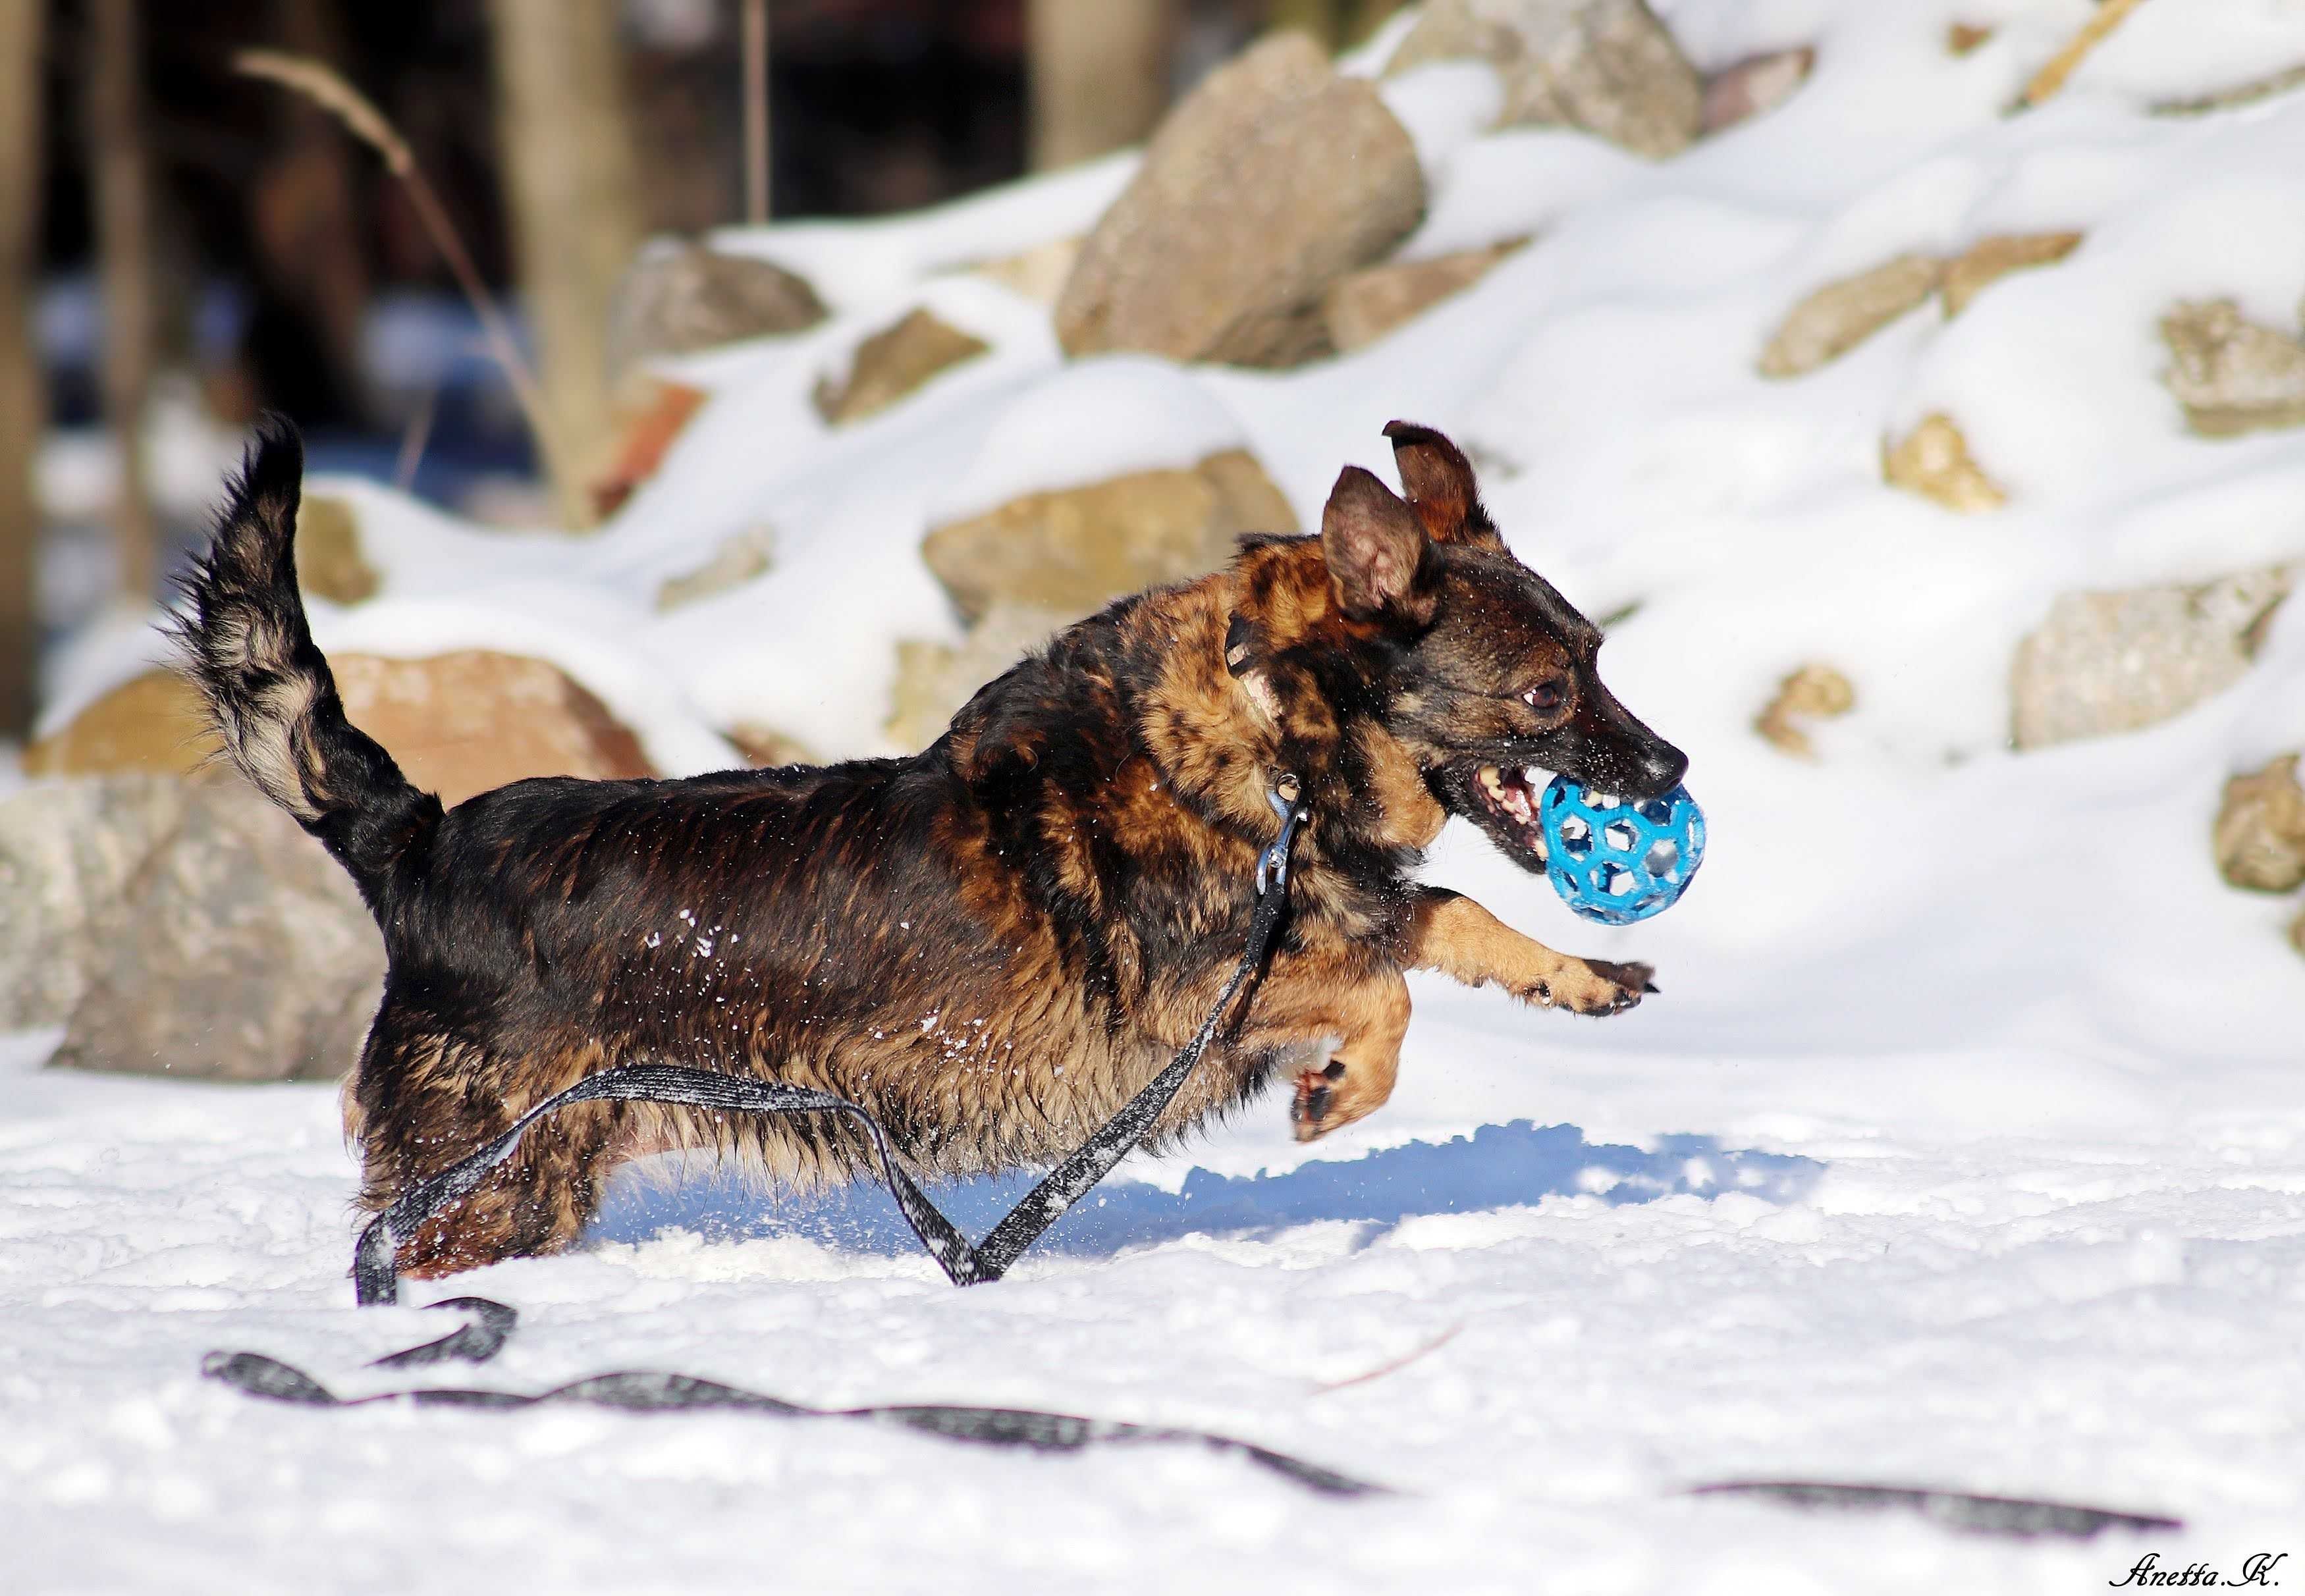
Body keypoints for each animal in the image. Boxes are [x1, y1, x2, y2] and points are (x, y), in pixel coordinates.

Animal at [180, 417, 1687, 1280]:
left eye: (1600, 657)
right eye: (1546, 694)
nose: (1671, 770)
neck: (1269, 730)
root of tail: (419, 844)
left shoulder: (1320, 912)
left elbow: (1439, 917)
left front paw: (1573, 975)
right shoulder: (1196, 997)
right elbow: (1383, 986)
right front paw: (1343, 1089)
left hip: (535, 1184)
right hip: (489, 1173)